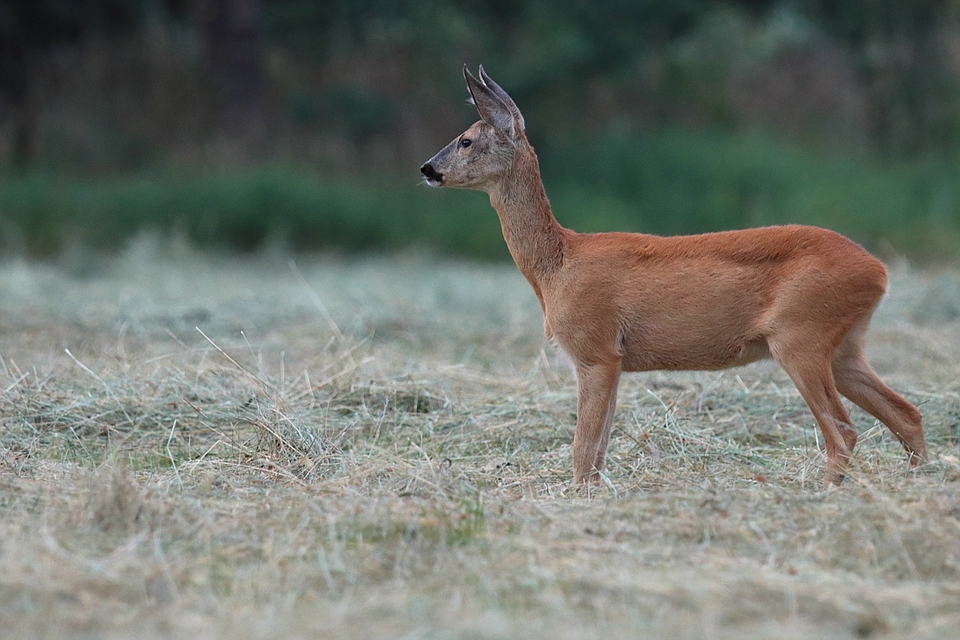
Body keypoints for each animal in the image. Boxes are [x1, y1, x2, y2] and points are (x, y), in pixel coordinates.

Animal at [420, 65, 928, 488]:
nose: (427, 168)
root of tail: (879, 271)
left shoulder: (594, 349)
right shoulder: (616, 360)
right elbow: (599, 450)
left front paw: (575, 497)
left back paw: (825, 495)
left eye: (465, 140)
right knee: (907, 413)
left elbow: (583, 449)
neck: (557, 266)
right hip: (843, 346)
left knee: (843, 430)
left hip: (801, 335)